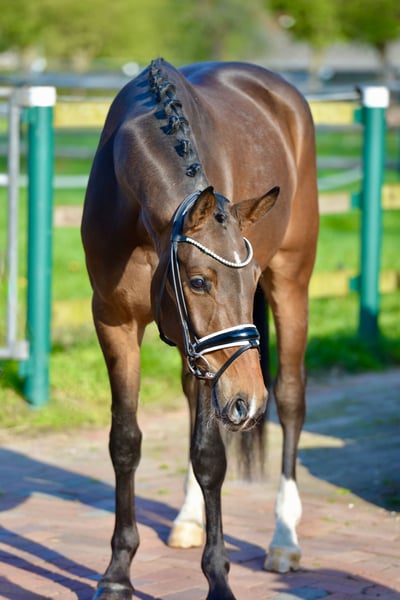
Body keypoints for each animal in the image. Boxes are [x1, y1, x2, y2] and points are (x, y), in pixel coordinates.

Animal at [81, 58, 319, 600]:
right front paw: (117, 573)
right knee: (195, 400)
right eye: (198, 281)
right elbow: (125, 442)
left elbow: (210, 455)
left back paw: (284, 540)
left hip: (292, 283)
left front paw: (219, 579)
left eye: (249, 279)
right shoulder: (115, 321)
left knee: (292, 400)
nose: (249, 400)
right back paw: (189, 519)